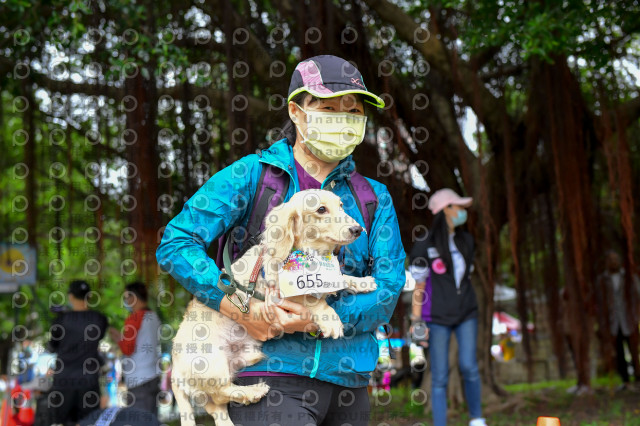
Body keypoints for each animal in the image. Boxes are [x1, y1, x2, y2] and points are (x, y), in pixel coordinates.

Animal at [172, 190, 378, 426]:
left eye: (342, 205)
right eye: (321, 209)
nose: (357, 229)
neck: (309, 257)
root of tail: (174, 370)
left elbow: (340, 279)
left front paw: (362, 282)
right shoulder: (282, 291)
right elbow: (314, 301)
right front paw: (331, 320)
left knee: (218, 410)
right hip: (213, 364)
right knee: (221, 393)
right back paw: (254, 392)